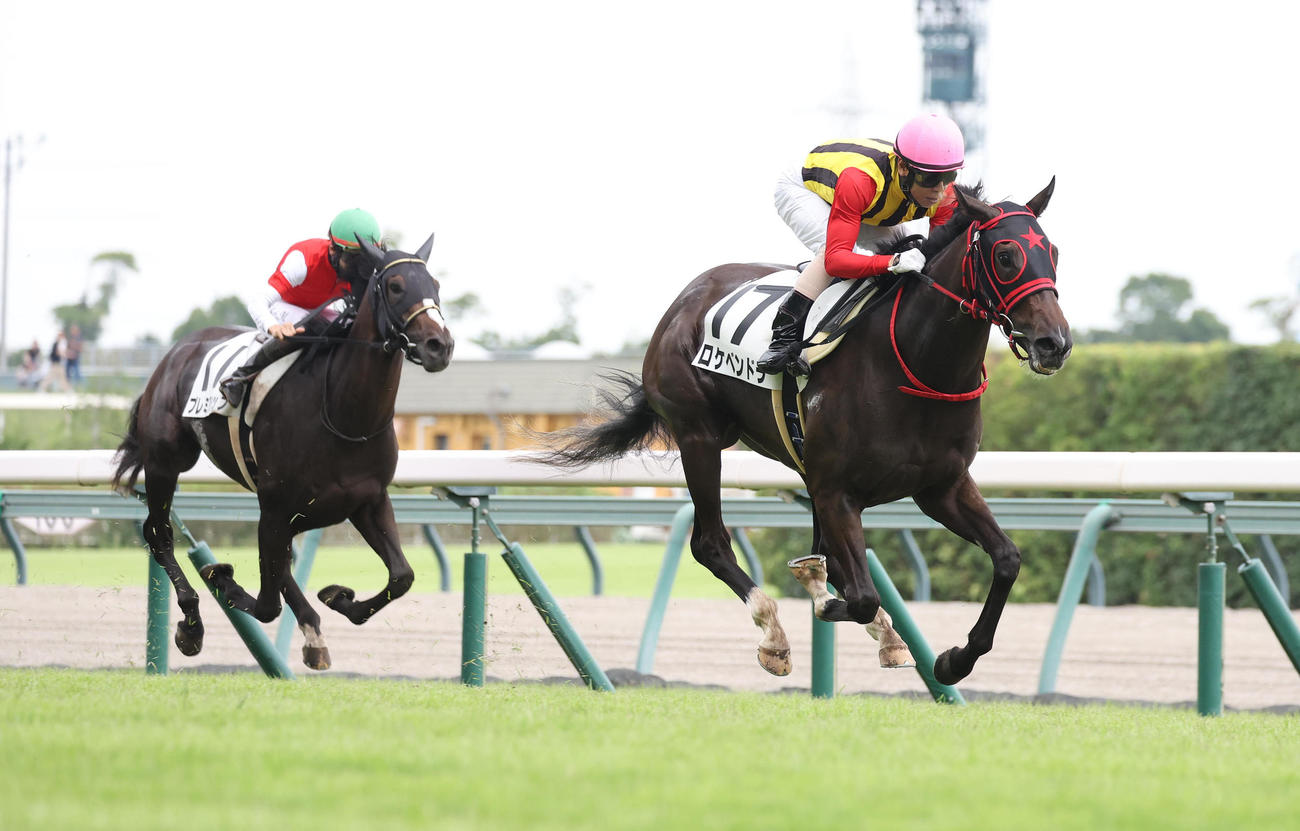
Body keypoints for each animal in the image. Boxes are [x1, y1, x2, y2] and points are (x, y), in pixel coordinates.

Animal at [111, 234, 454, 671]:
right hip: (165, 462)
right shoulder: (276, 505)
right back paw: (192, 623)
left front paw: (339, 597)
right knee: (159, 533)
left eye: (435, 285)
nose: (439, 345)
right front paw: (222, 581)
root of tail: (173, 354)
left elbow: (401, 576)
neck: (343, 414)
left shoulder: (367, 500)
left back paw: (311, 630)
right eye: (395, 286)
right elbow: (267, 604)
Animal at [540, 181, 1070, 686]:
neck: (913, 363)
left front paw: (953, 661)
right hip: (699, 437)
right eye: (1005, 255)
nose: (1055, 344)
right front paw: (826, 601)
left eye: (1054, 251)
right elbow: (857, 595)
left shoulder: (941, 487)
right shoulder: (836, 491)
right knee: (710, 544)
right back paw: (775, 636)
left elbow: (1006, 559)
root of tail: (684, 300)